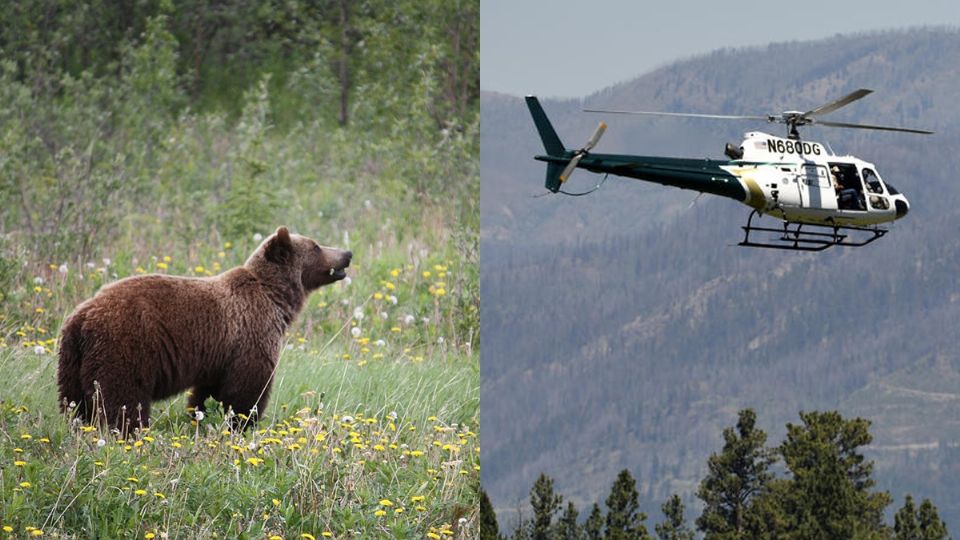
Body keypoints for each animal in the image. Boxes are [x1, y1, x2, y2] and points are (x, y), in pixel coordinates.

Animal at [56, 227, 350, 430]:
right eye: (316, 246)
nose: (347, 254)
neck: (275, 298)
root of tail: (82, 317)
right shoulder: (251, 333)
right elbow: (247, 389)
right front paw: (242, 423)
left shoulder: (219, 354)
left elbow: (208, 392)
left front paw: (201, 416)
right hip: (125, 346)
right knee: (123, 399)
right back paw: (129, 432)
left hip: (72, 361)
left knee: (74, 404)